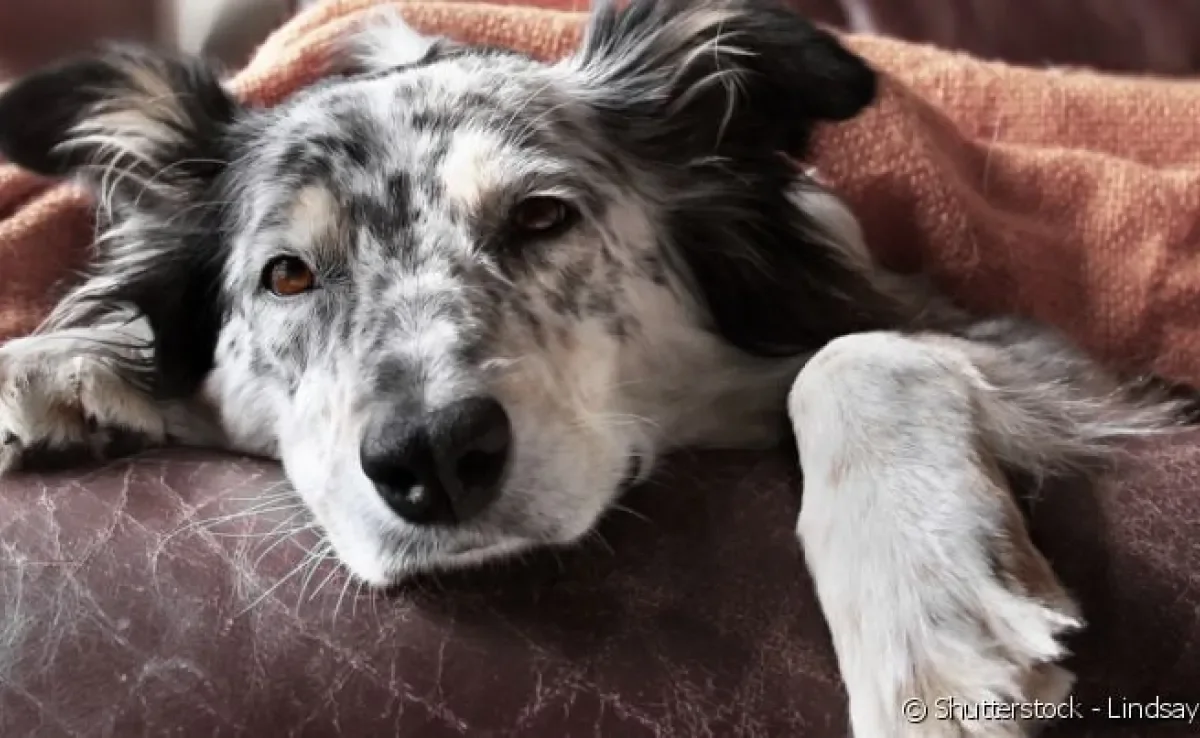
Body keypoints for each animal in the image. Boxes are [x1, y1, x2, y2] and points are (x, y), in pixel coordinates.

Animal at [0, 2, 1185, 734]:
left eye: (540, 217)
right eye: (288, 276)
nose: (433, 458)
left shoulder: (1043, 358)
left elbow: (854, 354)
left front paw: (928, 619)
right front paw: (55, 362)